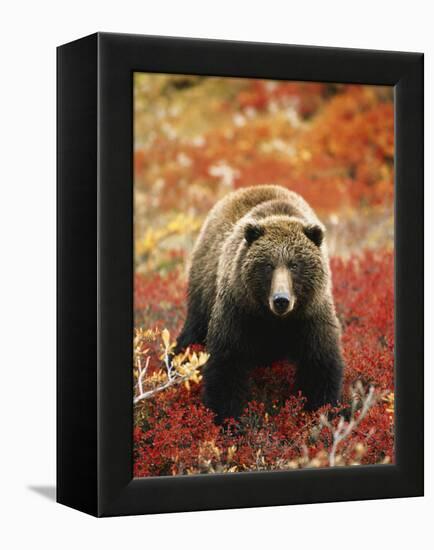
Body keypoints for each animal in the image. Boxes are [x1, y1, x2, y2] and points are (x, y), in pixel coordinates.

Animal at [175, 187, 342, 426]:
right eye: (268, 265)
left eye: (294, 265)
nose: (281, 299)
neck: (274, 320)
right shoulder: (239, 311)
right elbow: (226, 365)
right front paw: (227, 419)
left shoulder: (311, 316)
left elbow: (319, 365)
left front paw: (321, 413)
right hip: (203, 289)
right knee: (192, 333)